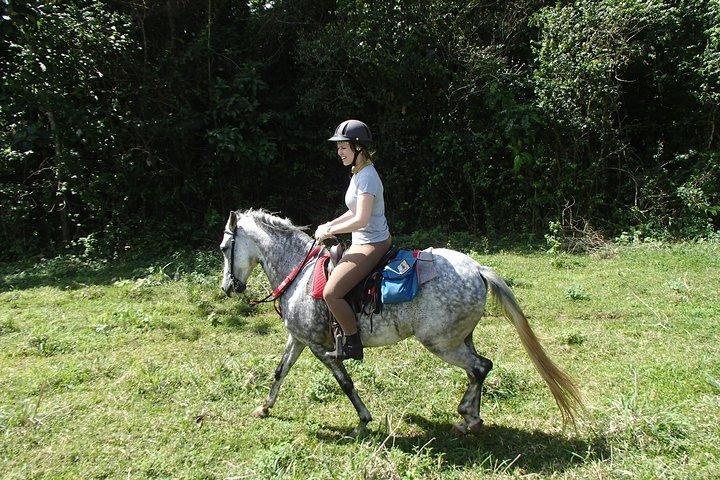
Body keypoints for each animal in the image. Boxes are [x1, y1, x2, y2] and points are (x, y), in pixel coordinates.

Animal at [220, 209, 583, 436]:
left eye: (225, 247)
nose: (227, 288)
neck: (300, 272)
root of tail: (478, 270)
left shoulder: (322, 348)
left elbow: (345, 382)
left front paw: (363, 421)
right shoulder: (299, 339)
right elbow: (280, 371)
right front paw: (264, 408)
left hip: (441, 343)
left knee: (481, 367)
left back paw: (467, 417)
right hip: (460, 339)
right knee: (476, 370)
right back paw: (471, 418)